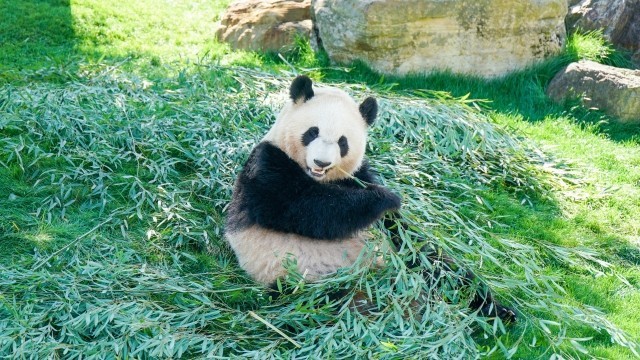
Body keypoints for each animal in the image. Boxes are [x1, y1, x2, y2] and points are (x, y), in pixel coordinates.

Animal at [225, 74, 516, 322]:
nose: (321, 162)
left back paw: (497, 310)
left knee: (440, 266)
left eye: (342, 142)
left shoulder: (358, 174)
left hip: (404, 259)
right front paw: (387, 198)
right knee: (335, 301)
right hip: (301, 279)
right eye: (312, 132)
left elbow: (398, 227)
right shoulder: (266, 166)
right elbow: (304, 208)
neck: (319, 178)